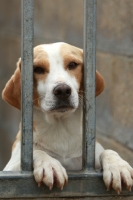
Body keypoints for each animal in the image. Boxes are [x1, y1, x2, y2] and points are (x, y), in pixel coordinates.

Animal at [2, 42, 133, 194]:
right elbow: (37, 151)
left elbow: (108, 151)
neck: (61, 128)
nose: (62, 90)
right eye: (38, 69)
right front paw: (49, 164)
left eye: (72, 64)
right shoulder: (11, 169)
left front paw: (118, 166)